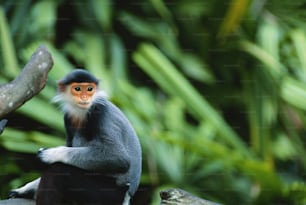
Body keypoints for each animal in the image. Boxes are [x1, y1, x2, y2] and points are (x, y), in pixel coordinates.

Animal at [9, 69, 141, 205]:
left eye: (89, 89)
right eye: (77, 89)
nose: (85, 97)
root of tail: (127, 196)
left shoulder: (100, 112)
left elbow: (119, 157)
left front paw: (51, 154)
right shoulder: (68, 117)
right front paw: (26, 188)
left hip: (109, 195)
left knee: (58, 169)